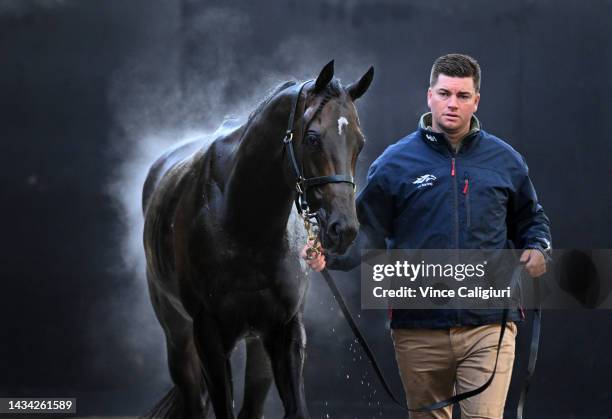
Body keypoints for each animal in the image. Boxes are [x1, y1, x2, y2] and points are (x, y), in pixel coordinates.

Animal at [143, 62, 372, 419]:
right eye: (312, 138)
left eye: (358, 143)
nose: (344, 229)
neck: (244, 226)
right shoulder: (208, 336)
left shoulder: (285, 331)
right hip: (178, 336)